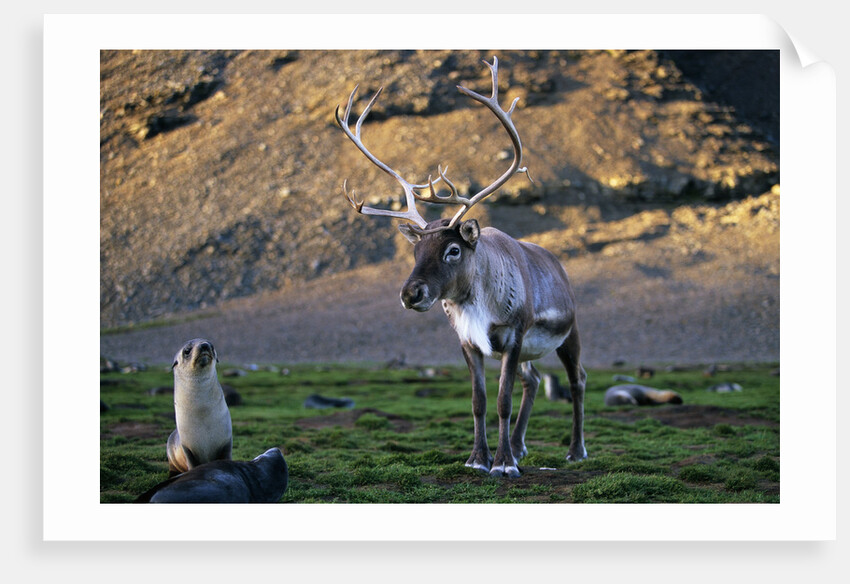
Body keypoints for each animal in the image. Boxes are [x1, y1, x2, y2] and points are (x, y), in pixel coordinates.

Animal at [334, 56, 587, 477]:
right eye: (416, 250)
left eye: (453, 249)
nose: (410, 293)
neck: (477, 302)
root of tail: (559, 266)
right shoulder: (469, 342)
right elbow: (478, 402)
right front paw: (477, 459)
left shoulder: (513, 335)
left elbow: (502, 401)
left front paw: (502, 465)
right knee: (534, 380)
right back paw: (520, 445)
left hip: (569, 331)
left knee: (577, 379)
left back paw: (574, 450)